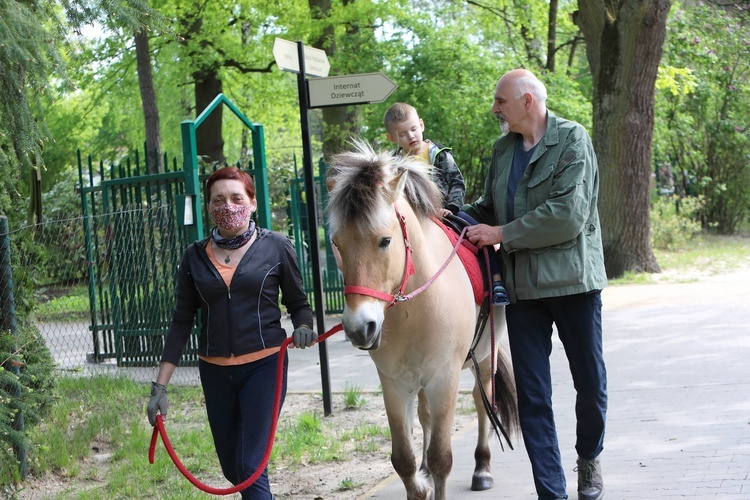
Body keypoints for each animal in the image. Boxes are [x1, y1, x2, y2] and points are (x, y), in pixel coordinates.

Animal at [326, 140, 520, 500]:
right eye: (336, 243)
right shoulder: (394, 384)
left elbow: (443, 457)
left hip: (484, 357)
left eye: (385, 240)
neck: (413, 307)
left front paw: (440, 473)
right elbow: (403, 459)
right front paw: (420, 482)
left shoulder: (445, 379)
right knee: (425, 413)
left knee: (482, 402)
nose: (359, 328)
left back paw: (482, 468)